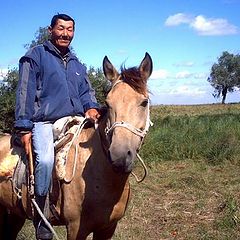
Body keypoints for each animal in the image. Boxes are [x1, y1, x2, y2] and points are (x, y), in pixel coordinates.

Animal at [0, 51, 153, 239]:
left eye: (144, 102)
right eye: (108, 103)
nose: (120, 156)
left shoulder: (108, 228)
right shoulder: (75, 229)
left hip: (15, 214)